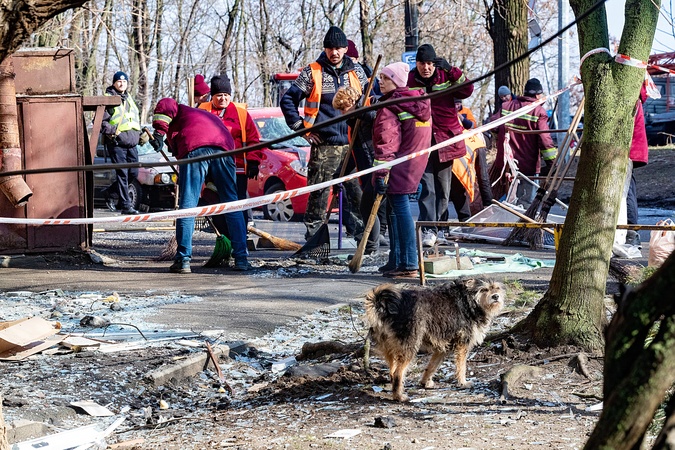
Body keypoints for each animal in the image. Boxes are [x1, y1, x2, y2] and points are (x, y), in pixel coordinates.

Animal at [364, 278, 506, 401]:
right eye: (484, 289)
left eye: (497, 288)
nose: (496, 296)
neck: (469, 300)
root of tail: (386, 309)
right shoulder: (462, 345)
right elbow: (461, 367)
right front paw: (463, 383)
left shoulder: (443, 347)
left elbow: (432, 366)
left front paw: (424, 382)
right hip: (410, 346)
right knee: (398, 373)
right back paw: (399, 397)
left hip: (390, 349)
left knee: (392, 372)